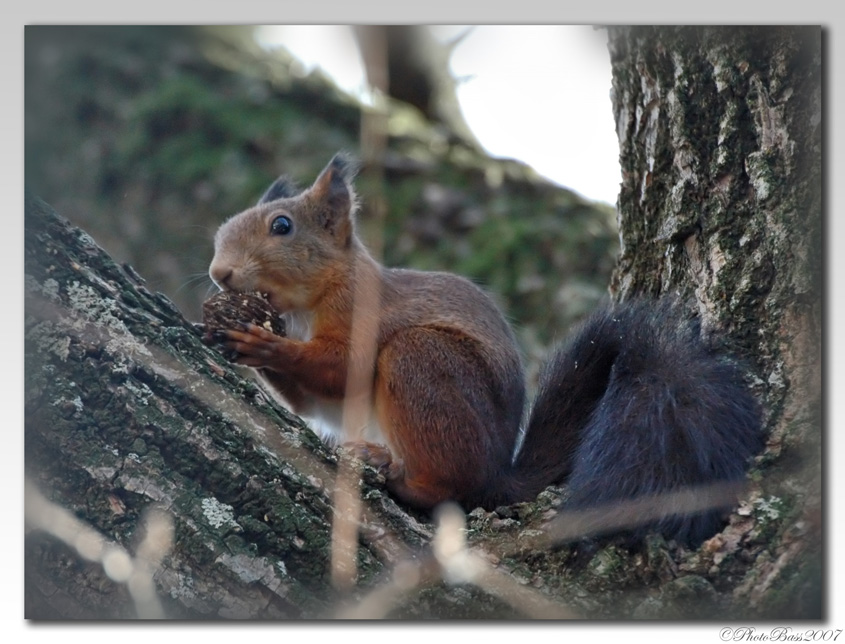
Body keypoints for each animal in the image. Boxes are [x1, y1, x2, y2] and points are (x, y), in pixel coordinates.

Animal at [208, 153, 760, 544]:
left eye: (282, 226)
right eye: (221, 231)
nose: (219, 273)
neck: (308, 304)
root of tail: (498, 473)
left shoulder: (361, 312)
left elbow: (342, 368)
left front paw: (264, 342)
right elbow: (311, 401)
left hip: (422, 362)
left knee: (451, 490)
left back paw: (400, 478)